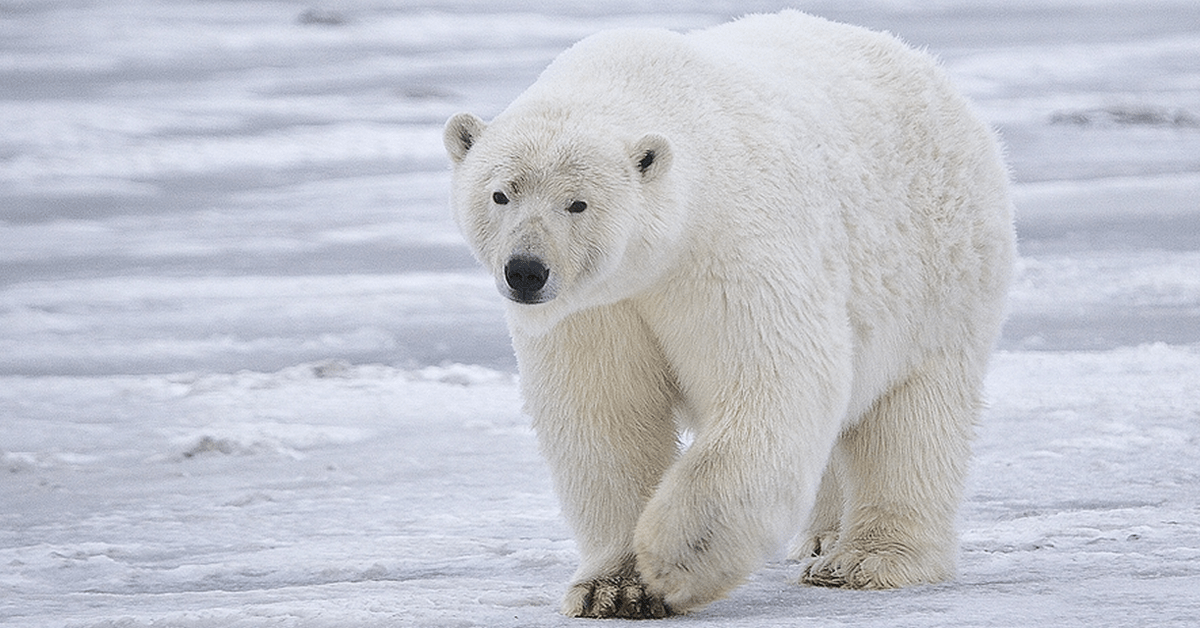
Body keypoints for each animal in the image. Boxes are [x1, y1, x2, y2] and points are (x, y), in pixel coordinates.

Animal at [443, 10, 1014, 619]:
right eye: (500, 194)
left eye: (578, 203)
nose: (526, 271)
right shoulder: (595, 308)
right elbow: (605, 415)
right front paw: (613, 588)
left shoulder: (729, 247)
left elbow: (773, 381)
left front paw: (673, 560)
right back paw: (821, 536)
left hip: (939, 272)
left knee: (912, 418)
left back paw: (864, 560)